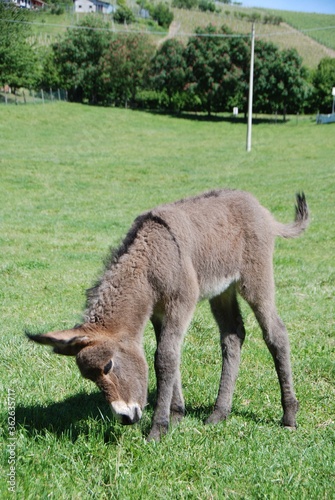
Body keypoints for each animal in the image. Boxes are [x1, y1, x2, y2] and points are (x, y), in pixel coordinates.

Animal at [28, 189, 310, 440]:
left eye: (107, 366)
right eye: (89, 377)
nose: (125, 418)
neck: (150, 261)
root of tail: (262, 210)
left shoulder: (180, 304)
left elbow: (164, 358)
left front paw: (158, 429)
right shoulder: (158, 312)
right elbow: (168, 356)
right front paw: (176, 415)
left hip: (255, 280)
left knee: (275, 333)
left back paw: (289, 415)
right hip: (223, 290)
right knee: (233, 336)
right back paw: (219, 413)